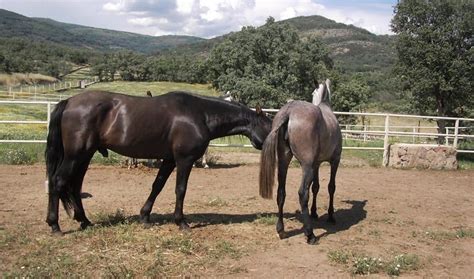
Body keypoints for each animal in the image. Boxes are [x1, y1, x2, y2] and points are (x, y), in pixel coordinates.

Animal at [47, 91, 274, 235]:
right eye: (271, 127)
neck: (200, 114)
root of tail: (68, 102)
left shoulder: (169, 159)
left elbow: (158, 186)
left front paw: (145, 217)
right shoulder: (184, 159)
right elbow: (180, 189)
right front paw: (181, 222)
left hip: (84, 156)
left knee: (75, 186)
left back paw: (85, 221)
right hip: (76, 156)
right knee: (58, 182)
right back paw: (55, 225)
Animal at [260, 80, 340, 245]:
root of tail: (289, 112)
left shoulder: (317, 164)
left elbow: (316, 187)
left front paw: (314, 213)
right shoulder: (335, 161)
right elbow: (331, 187)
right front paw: (330, 215)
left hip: (284, 162)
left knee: (281, 192)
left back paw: (281, 230)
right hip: (306, 166)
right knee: (303, 193)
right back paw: (310, 234)